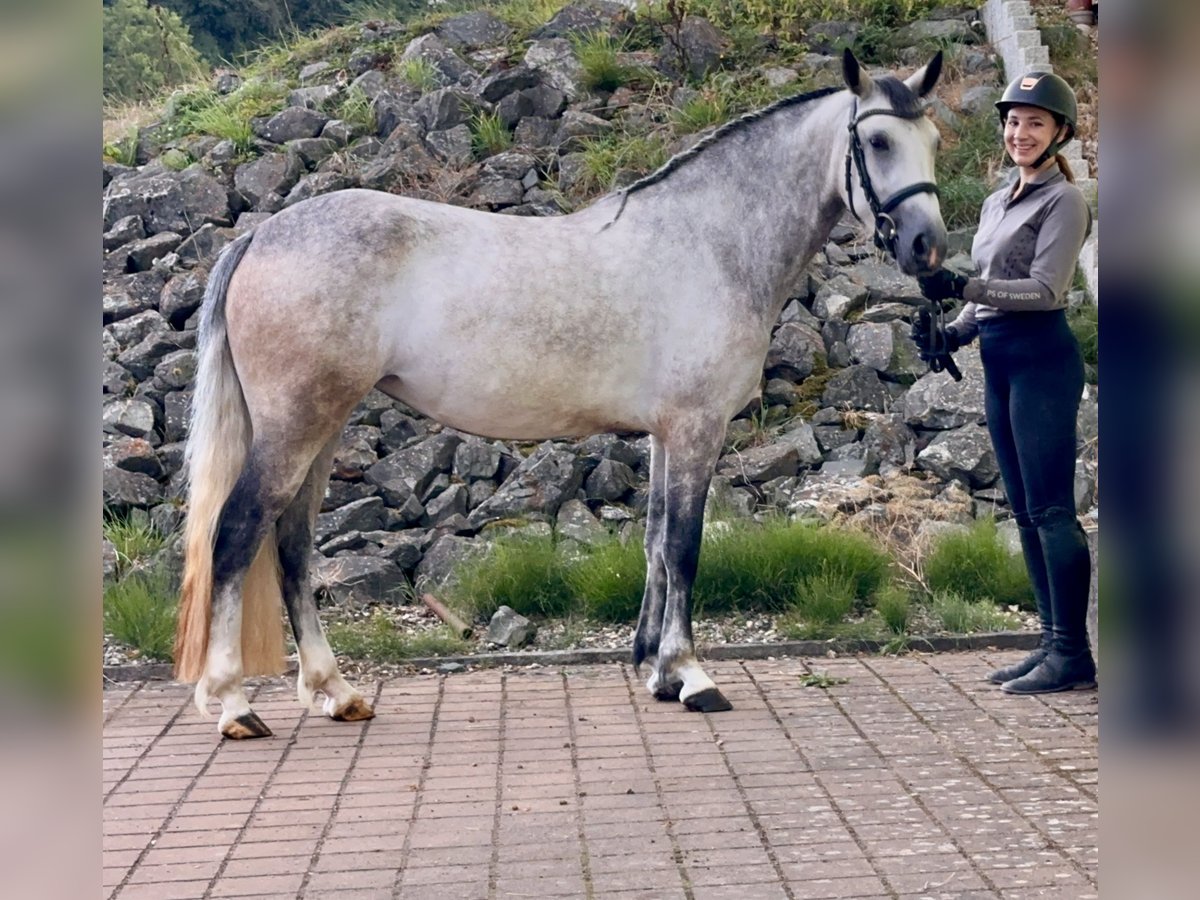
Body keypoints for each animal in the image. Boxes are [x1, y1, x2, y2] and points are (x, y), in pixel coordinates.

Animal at [175, 51, 945, 739]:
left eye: (933, 140)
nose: (928, 248)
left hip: (324, 424)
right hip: (296, 425)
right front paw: (692, 676)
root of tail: (261, 234)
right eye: (878, 142)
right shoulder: (697, 427)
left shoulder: (666, 433)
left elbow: (656, 542)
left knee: (293, 544)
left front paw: (656, 671)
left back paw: (336, 693)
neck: (708, 243)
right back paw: (234, 704)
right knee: (237, 533)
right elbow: (685, 546)